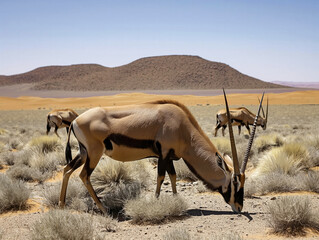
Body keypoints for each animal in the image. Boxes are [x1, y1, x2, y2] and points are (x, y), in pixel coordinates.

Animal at [59, 91, 264, 214]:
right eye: (234, 182)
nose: (239, 207)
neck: (183, 128)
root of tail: (75, 120)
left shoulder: (170, 156)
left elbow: (172, 176)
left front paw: (175, 199)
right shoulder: (163, 154)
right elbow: (161, 177)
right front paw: (156, 201)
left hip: (84, 153)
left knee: (67, 170)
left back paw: (61, 205)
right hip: (94, 153)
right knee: (84, 175)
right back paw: (103, 208)